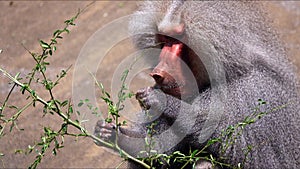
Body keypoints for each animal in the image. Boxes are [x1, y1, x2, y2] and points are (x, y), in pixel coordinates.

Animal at [95, 1, 300, 169]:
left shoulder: (252, 93)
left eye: (178, 41)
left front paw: (162, 101)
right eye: (165, 40)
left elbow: (244, 154)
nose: (158, 73)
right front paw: (118, 137)